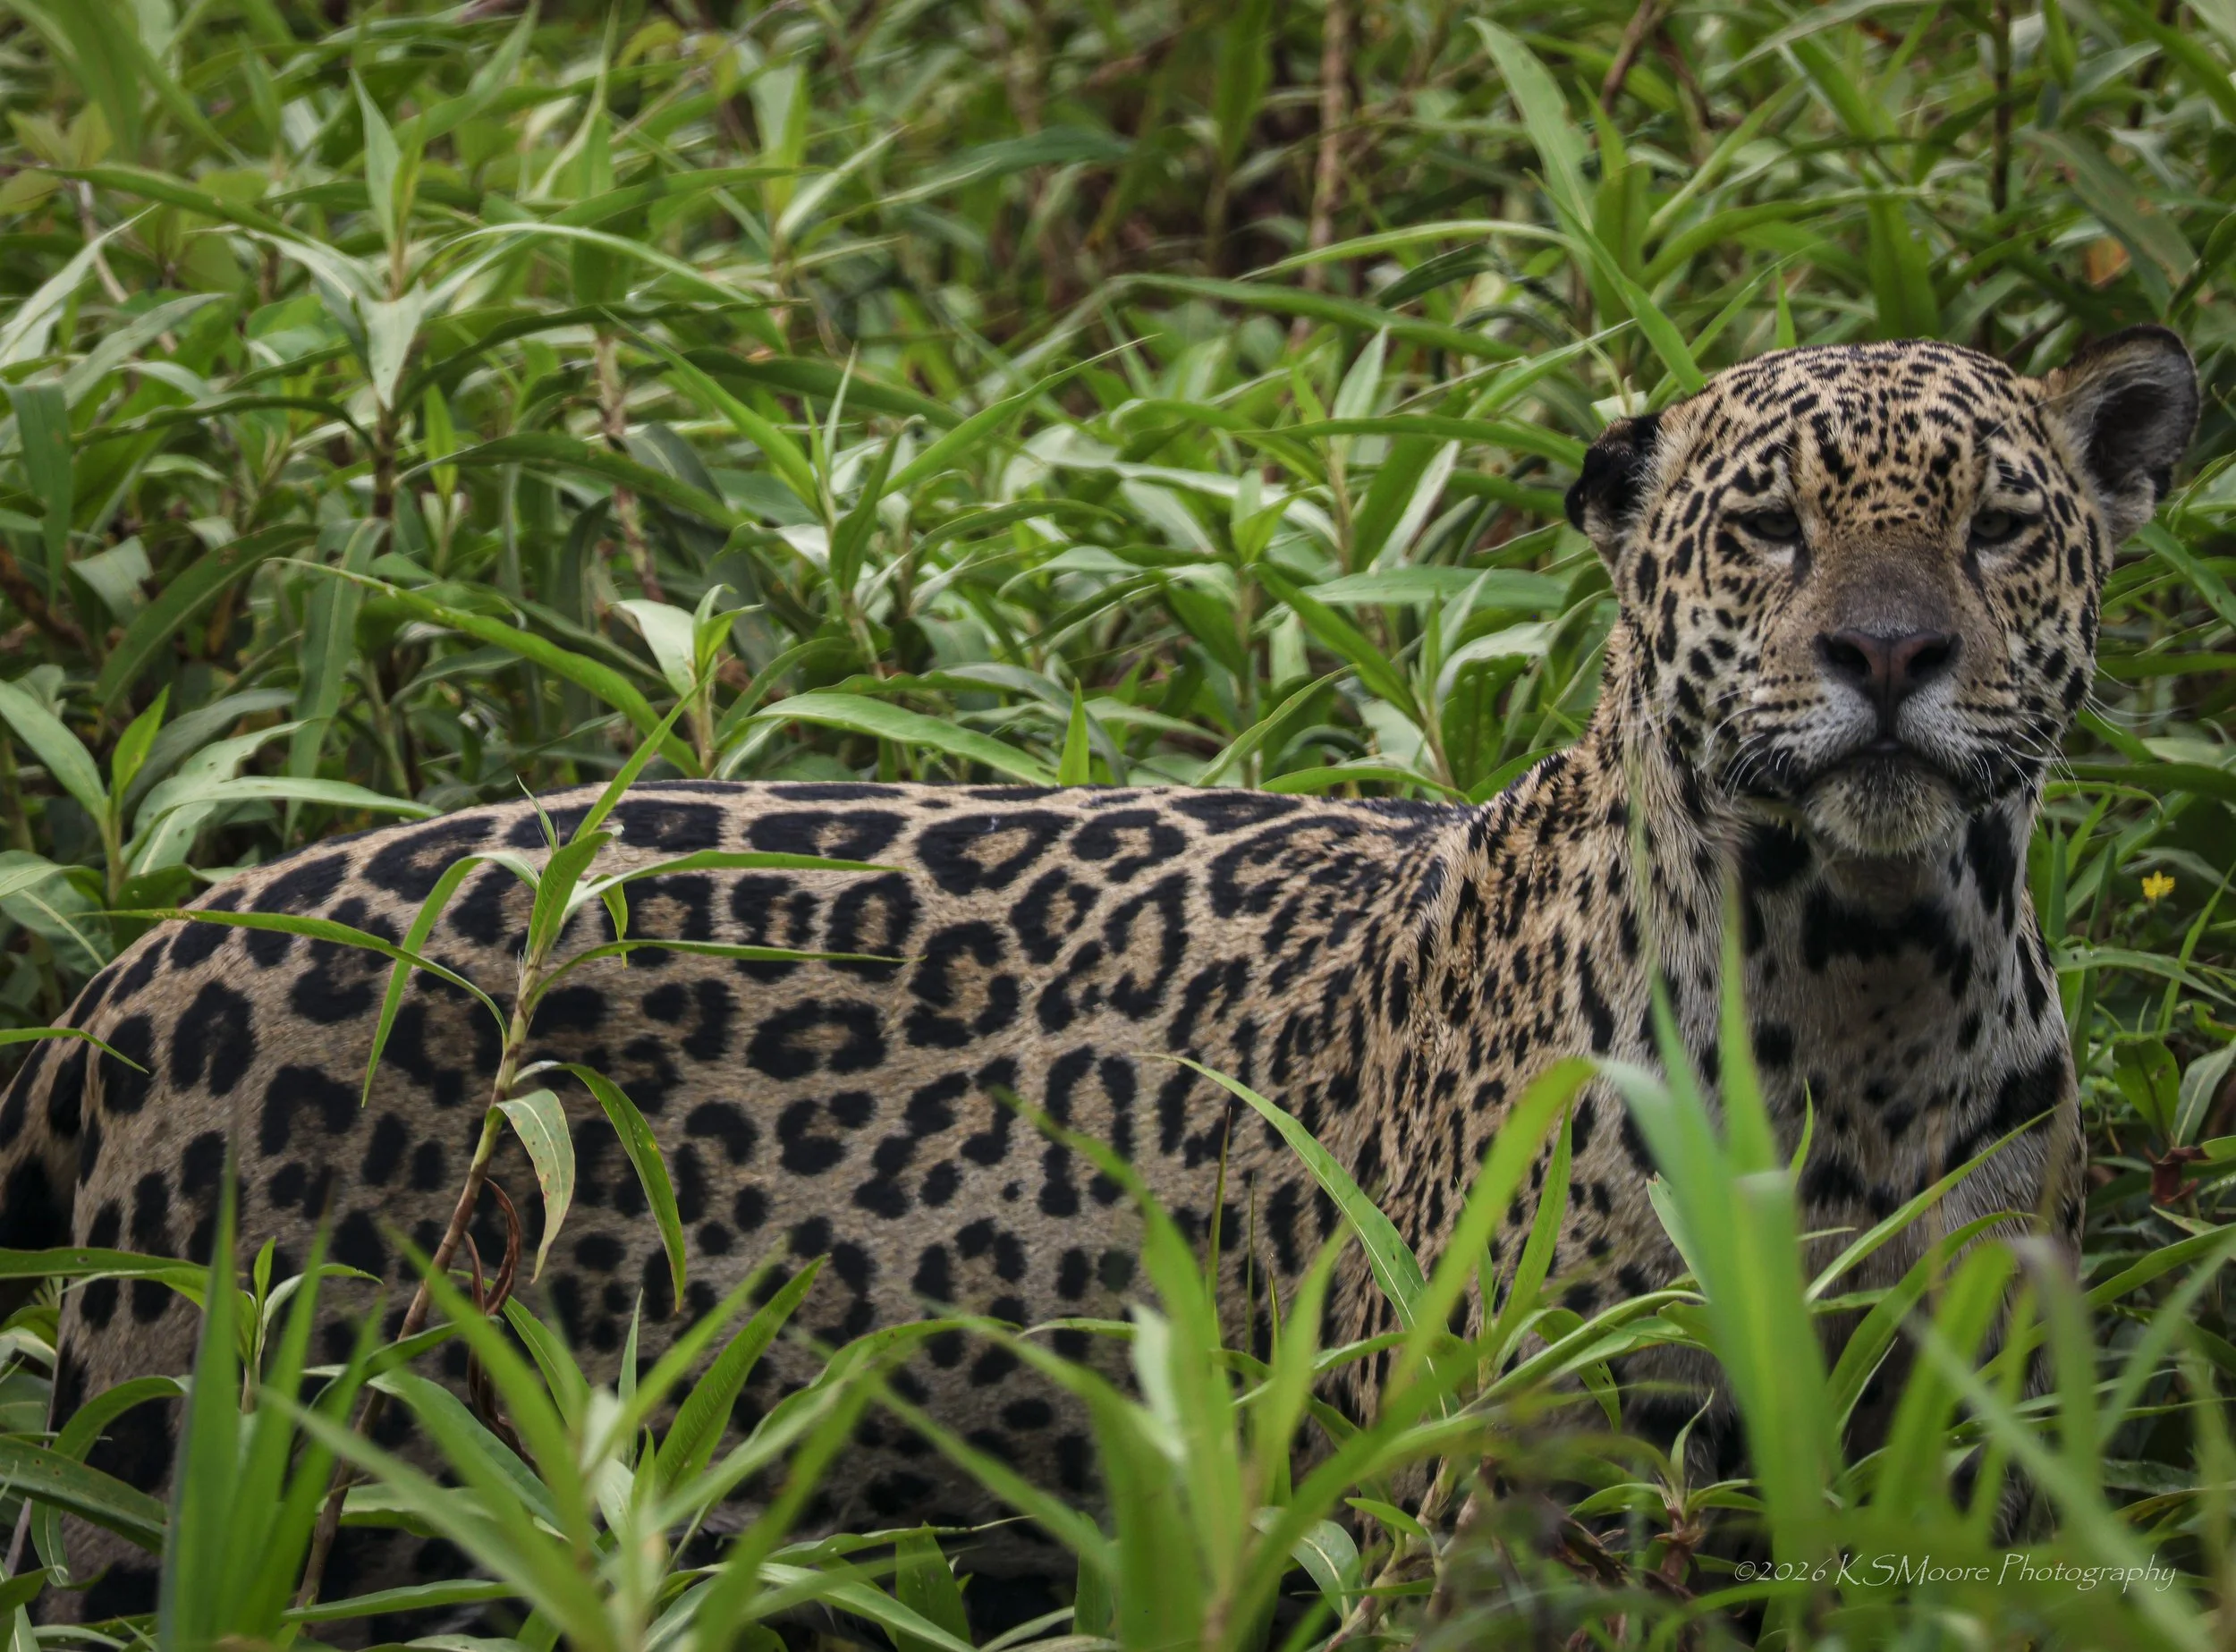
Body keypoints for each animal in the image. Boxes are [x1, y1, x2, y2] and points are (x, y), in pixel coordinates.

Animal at [0, 327, 2197, 1628]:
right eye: (1766, 528)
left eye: (2004, 526)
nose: (1890, 655)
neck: (1866, 984)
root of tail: (140, 959)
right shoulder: (1491, 1491)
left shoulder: (1976, 1442)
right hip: (166, 1470)